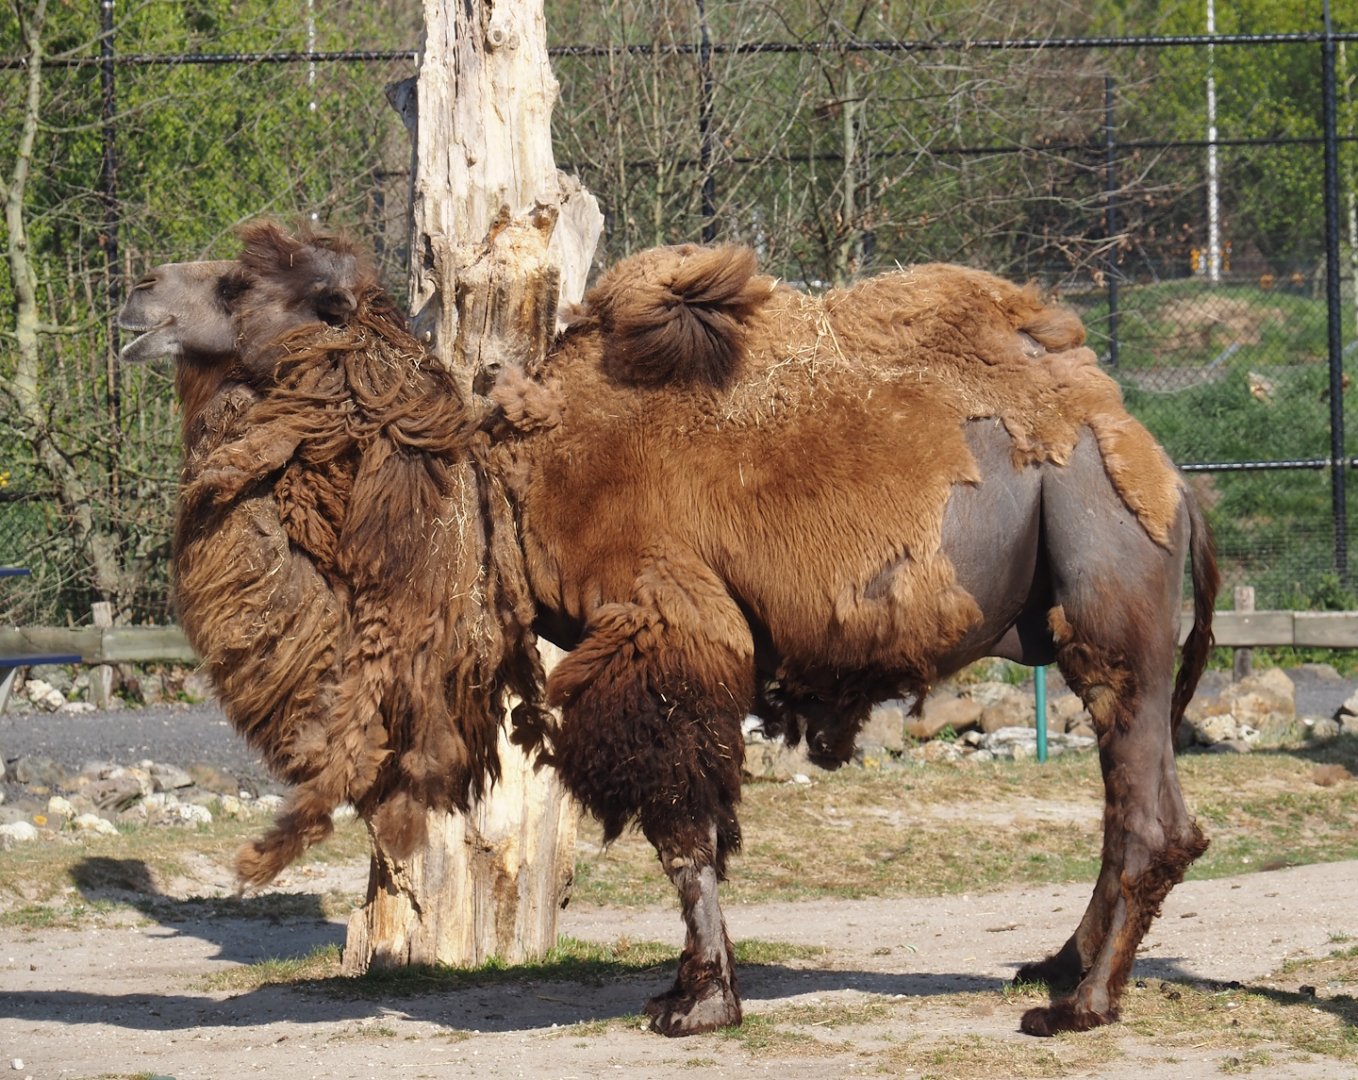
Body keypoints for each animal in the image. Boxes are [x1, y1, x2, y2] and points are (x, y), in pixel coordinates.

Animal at [119, 225, 1217, 1041]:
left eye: (235, 280)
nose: (135, 299)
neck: (506, 494)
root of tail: (1165, 466)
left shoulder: (663, 619)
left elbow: (681, 826)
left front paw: (701, 1005)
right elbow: (688, 827)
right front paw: (685, 988)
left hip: (1105, 568)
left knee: (1147, 803)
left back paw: (1078, 1006)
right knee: (1128, 796)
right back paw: (1060, 968)